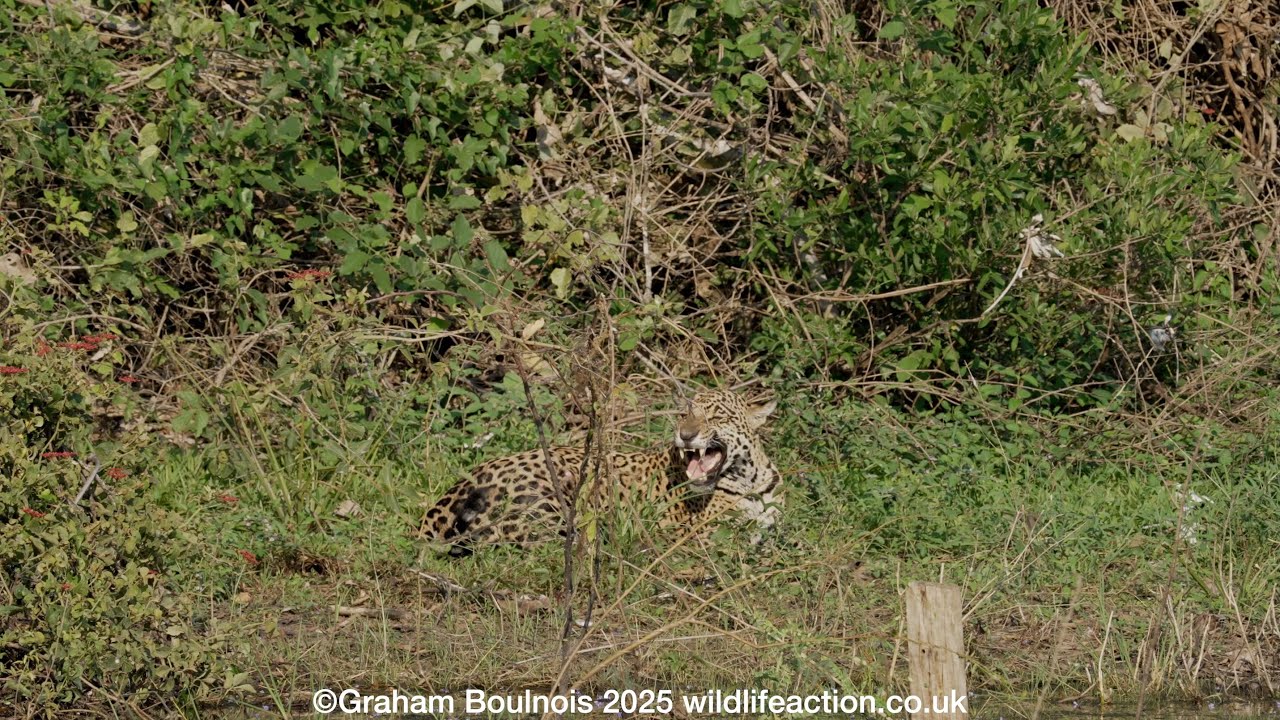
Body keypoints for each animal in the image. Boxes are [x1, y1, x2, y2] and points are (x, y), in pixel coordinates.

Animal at [418, 389, 782, 556]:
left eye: (717, 416)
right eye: (684, 415)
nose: (686, 434)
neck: (749, 481)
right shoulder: (703, 540)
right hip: (551, 506)